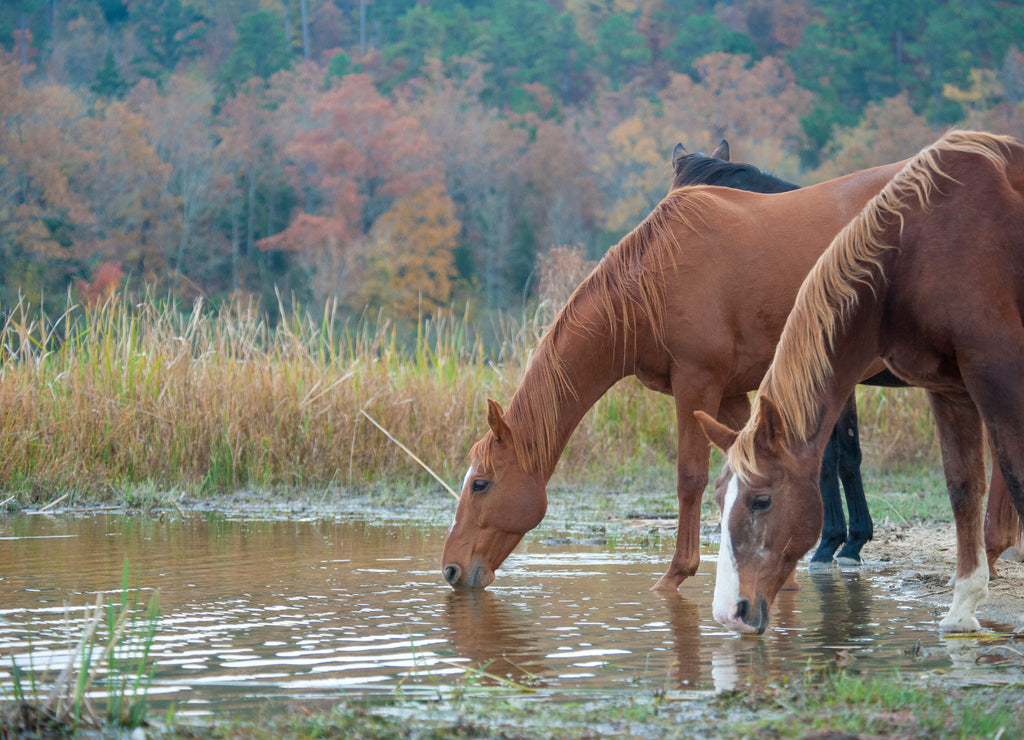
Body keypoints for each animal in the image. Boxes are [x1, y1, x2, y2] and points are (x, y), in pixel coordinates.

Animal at [442, 152, 913, 591]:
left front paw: (676, 574)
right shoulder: (731, 394)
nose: (450, 569)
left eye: (480, 484)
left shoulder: (697, 384)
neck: (656, 278)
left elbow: (691, 477)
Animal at [696, 130, 1024, 635]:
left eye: (761, 501)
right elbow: (963, 486)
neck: (917, 253)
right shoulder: (948, 388)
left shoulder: (995, 370)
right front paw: (962, 608)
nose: (730, 612)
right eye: (717, 497)